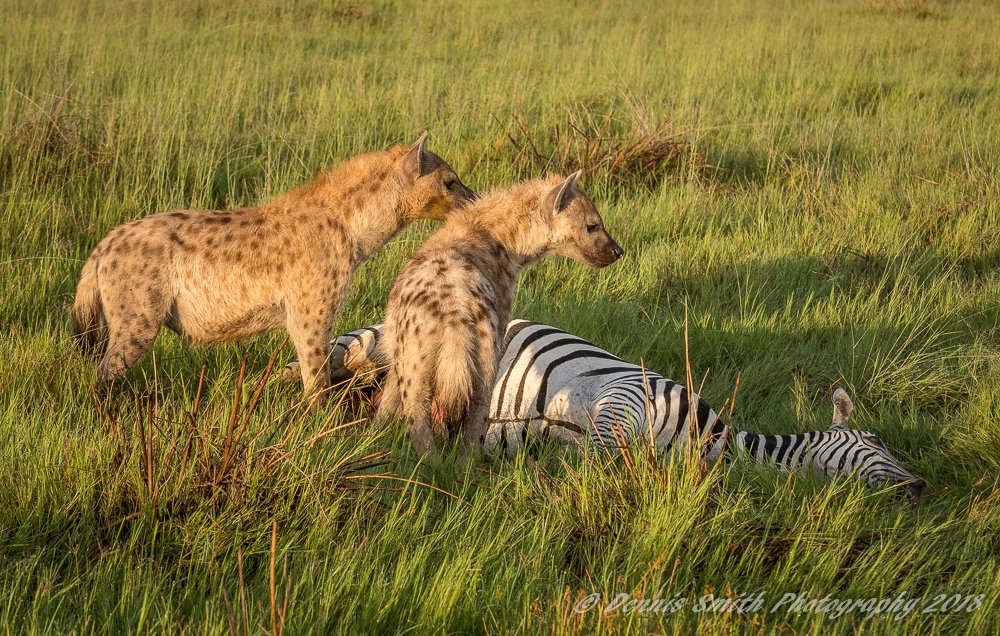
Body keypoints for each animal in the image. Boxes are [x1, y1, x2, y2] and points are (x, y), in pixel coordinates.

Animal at [284, 320, 926, 498]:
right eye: (876, 445)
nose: (923, 487)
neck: (705, 439)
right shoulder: (622, 400)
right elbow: (590, 470)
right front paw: (534, 490)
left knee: (360, 391)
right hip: (380, 341)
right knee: (328, 358)